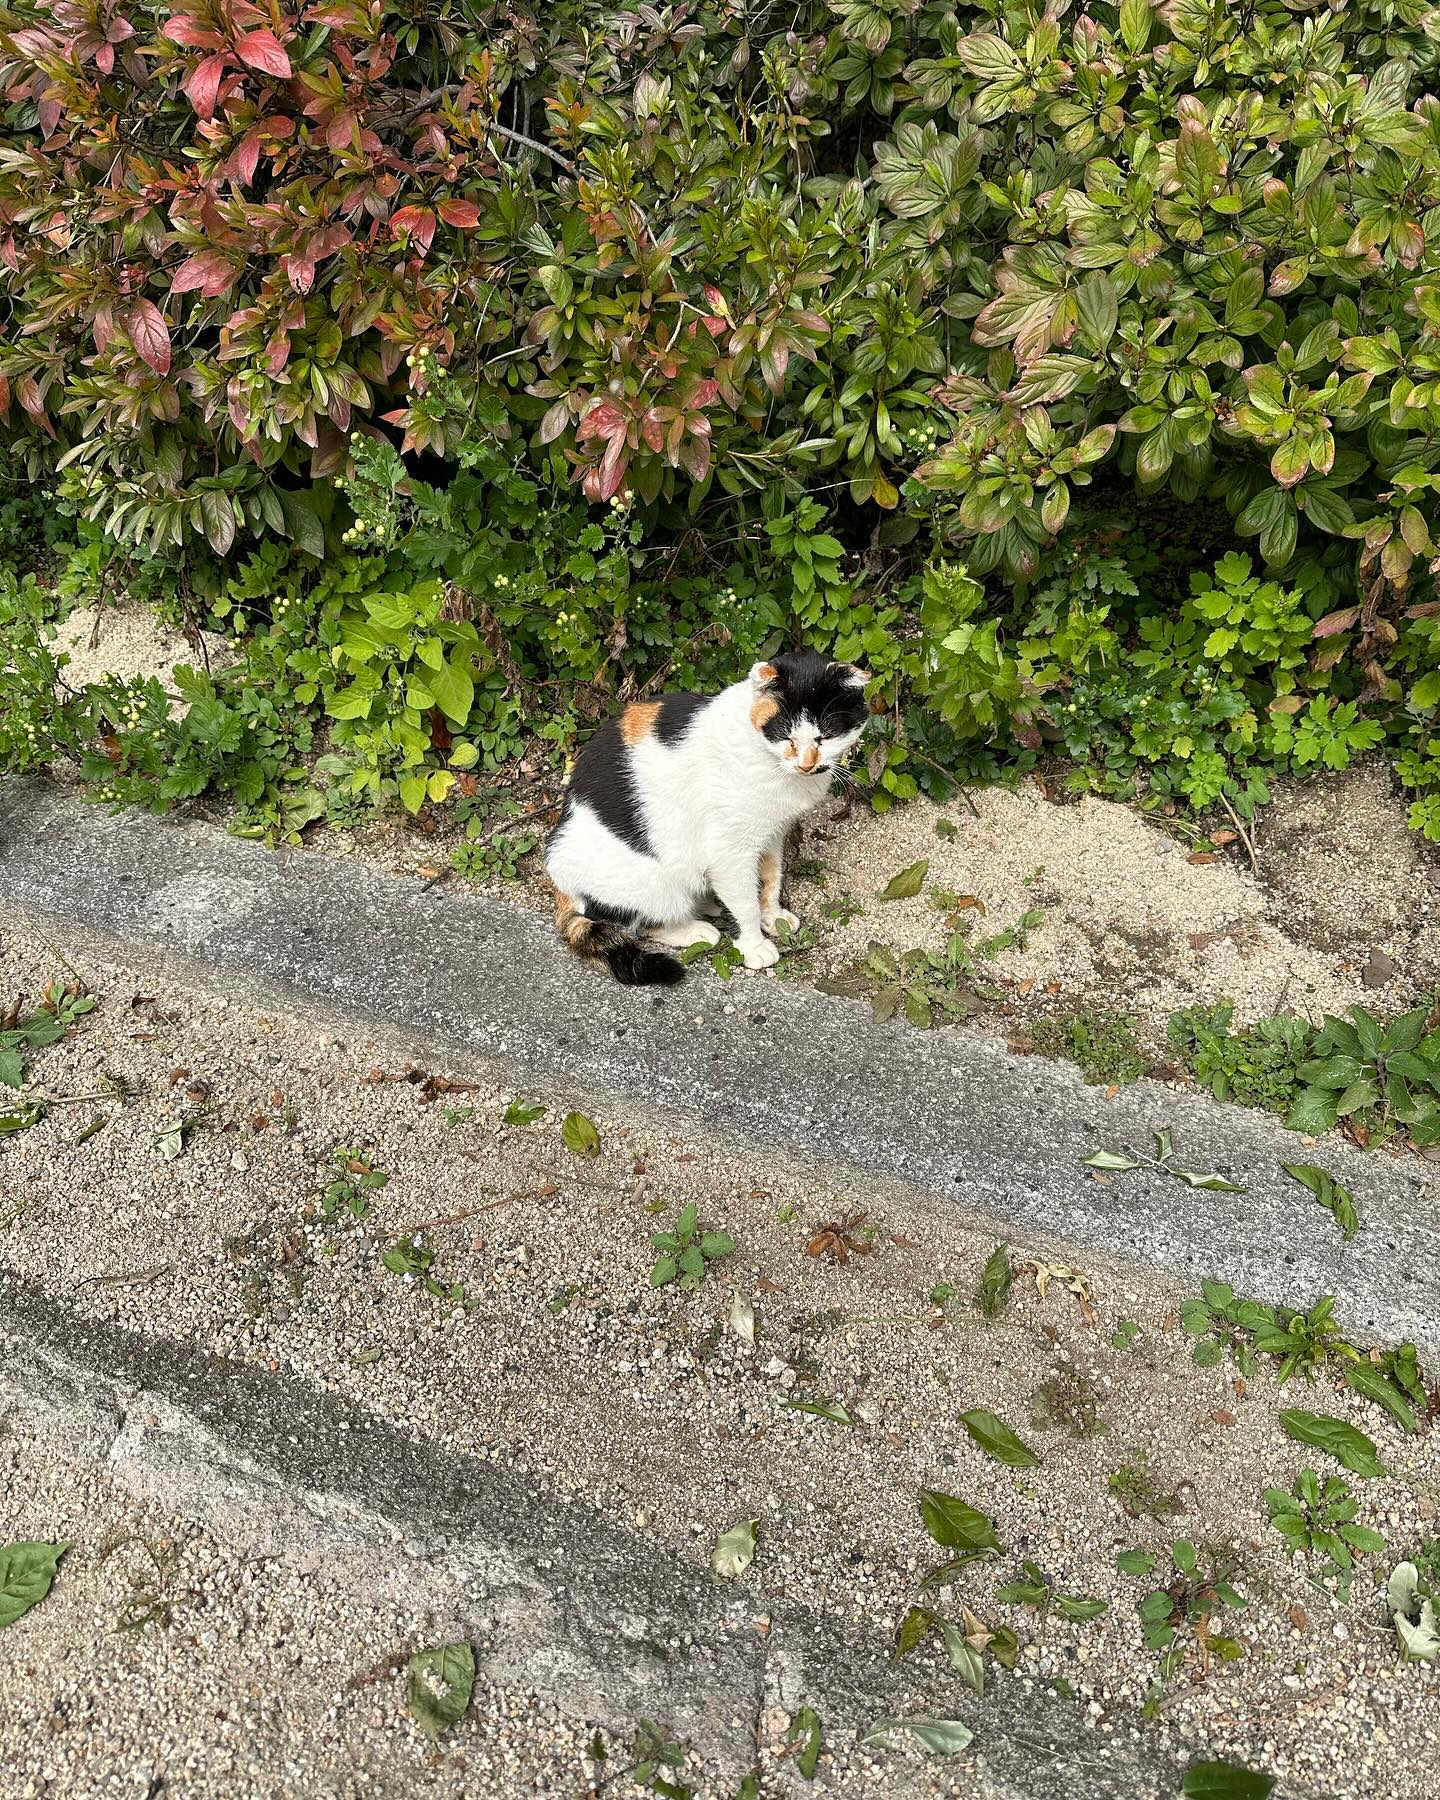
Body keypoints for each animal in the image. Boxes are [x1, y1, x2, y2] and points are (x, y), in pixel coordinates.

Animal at [547, 651, 871, 986]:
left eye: (826, 737)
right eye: (785, 736)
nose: (806, 765)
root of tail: (559, 884)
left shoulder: (772, 833)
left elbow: (771, 879)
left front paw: (773, 916)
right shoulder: (730, 849)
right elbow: (745, 902)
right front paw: (754, 946)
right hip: (656, 884)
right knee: (637, 923)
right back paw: (696, 929)